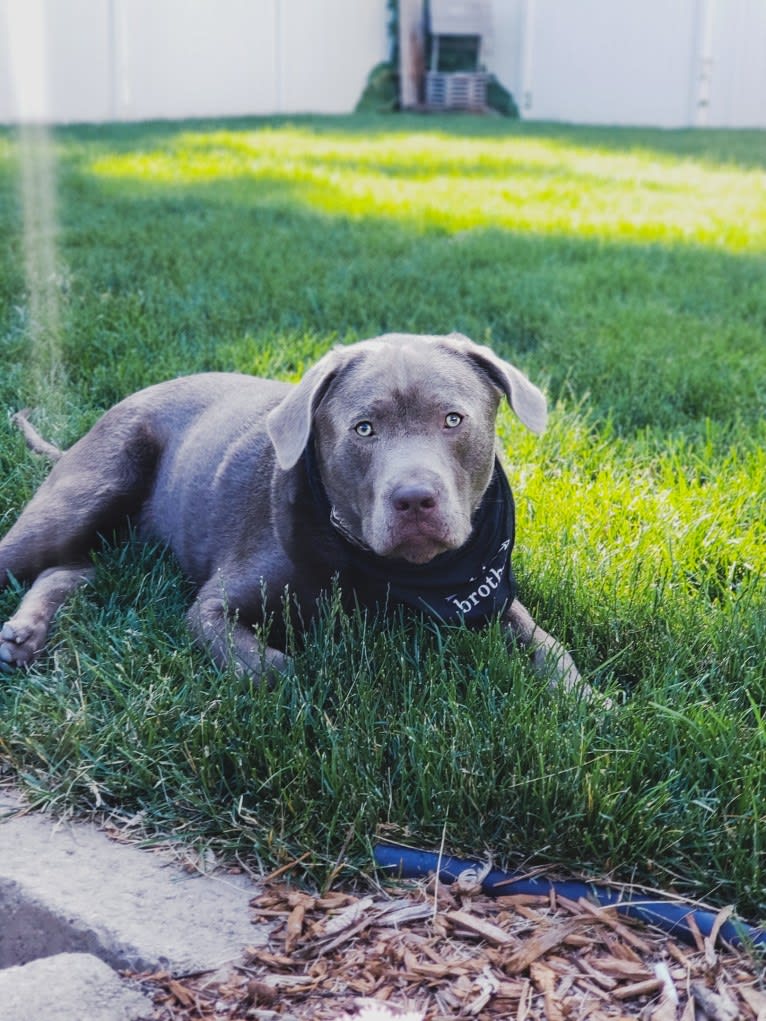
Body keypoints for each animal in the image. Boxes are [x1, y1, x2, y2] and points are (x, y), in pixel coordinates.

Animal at [0, 334, 584, 694]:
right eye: (364, 428)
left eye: (453, 420)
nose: (415, 498)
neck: (400, 580)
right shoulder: (212, 608)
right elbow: (270, 670)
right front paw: (306, 693)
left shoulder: (491, 595)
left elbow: (550, 646)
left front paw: (587, 704)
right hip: (89, 489)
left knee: (74, 567)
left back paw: (26, 633)